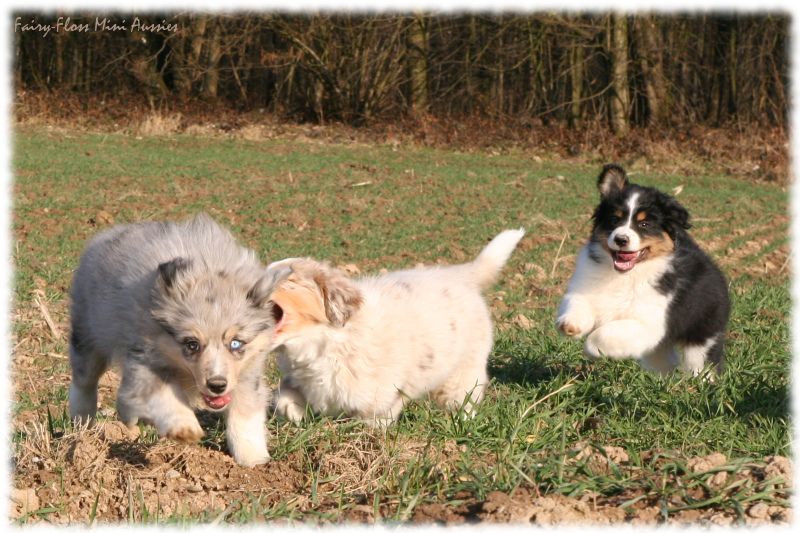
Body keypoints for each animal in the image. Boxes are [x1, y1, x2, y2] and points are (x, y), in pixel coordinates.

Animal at [268, 229, 524, 424]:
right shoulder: (301, 380)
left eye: (287, 279)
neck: (322, 342)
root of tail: (459, 275)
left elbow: (370, 423)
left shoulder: (379, 400)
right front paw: (294, 413)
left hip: (464, 370)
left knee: (464, 400)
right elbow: (284, 396)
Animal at [556, 164, 732, 376]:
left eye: (644, 224)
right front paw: (570, 325)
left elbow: (605, 334)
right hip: (659, 352)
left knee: (701, 364)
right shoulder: (585, 290)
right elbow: (577, 304)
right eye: (614, 220)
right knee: (666, 361)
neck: (625, 275)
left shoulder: (650, 323)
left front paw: (592, 350)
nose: (620, 239)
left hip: (703, 334)